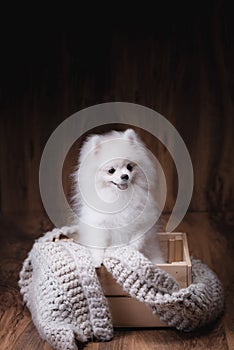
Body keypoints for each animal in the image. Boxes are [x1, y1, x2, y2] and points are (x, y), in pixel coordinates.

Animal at [70, 129, 164, 268]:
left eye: (129, 167)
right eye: (111, 170)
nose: (125, 176)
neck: (120, 196)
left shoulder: (142, 220)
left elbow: (137, 239)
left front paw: (131, 252)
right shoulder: (99, 225)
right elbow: (98, 246)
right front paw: (97, 261)